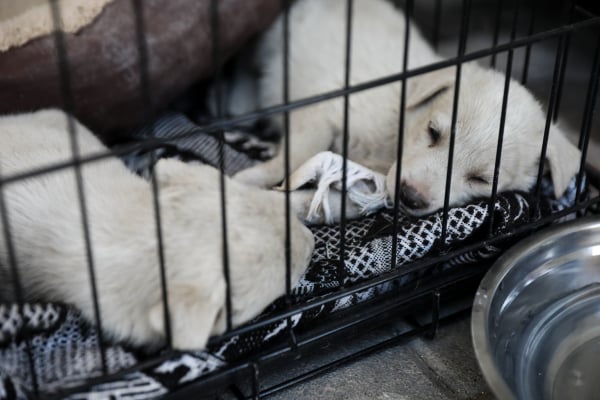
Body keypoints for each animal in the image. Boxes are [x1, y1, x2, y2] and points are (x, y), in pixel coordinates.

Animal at [230, 0, 580, 219]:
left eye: (482, 180)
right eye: (433, 132)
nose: (410, 197)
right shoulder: (322, 109)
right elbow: (293, 156)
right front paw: (248, 179)